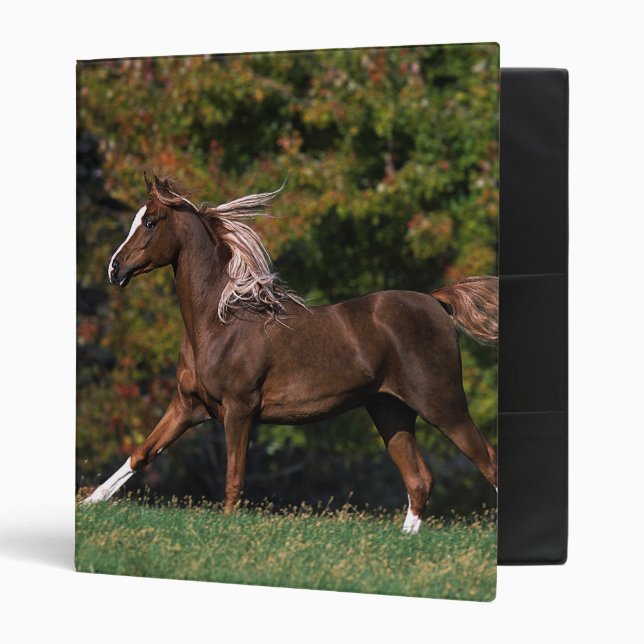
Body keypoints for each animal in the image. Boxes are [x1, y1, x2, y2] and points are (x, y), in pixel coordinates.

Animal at [83, 174, 498, 534]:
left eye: (150, 222)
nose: (114, 269)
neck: (219, 322)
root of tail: (435, 301)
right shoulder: (188, 406)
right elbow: (141, 453)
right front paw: (88, 504)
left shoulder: (239, 410)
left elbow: (234, 478)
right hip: (390, 411)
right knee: (419, 480)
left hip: (443, 405)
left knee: (488, 462)